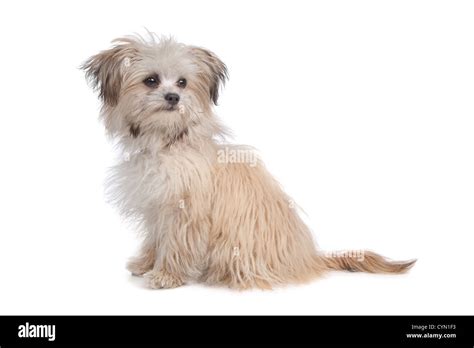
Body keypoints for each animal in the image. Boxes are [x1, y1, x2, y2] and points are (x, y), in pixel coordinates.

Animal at [81, 34, 414, 290]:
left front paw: (166, 275)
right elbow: (155, 238)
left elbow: (176, 244)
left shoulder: (185, 212)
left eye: (183, 82)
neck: (169, 142)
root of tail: (307, 257)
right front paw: (146, 263)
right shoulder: (156, 207)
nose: (173, 97)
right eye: (151, 81)